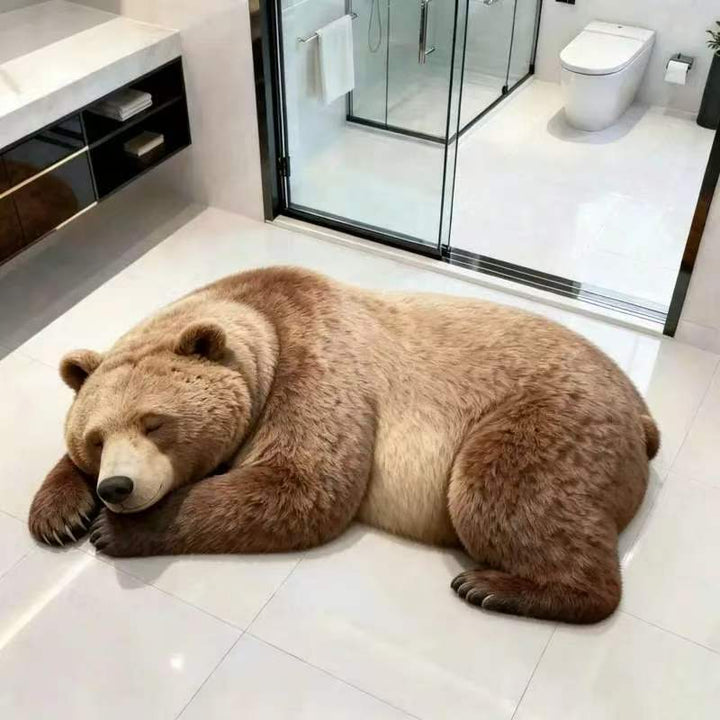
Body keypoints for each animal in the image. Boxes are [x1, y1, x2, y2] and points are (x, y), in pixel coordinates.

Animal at [28, 266, 659, 624]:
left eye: (155, 423)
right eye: (95, 439)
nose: (117, 487)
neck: (257, 318)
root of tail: (642, 411)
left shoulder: (317, 359)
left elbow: (302, 482)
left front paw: (117, 531)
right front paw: (57, 515)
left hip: (549, 416)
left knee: (502, 492)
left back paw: (495, 587)